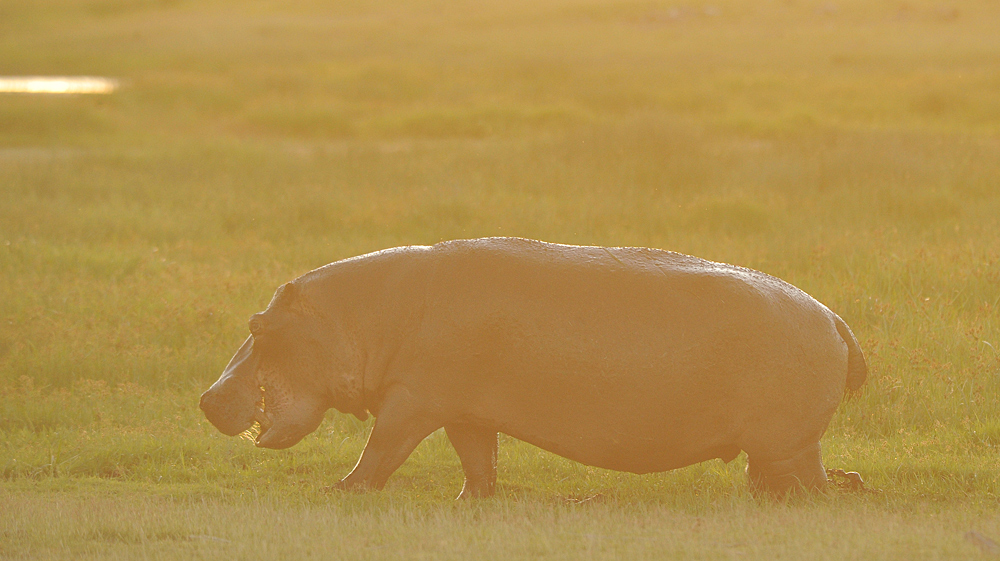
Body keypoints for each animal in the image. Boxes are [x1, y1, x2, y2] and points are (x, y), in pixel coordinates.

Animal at [200, 237, 867, 497]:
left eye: (258, 327)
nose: (206, 399)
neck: (360, 316)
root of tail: (835, 318)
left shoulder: (413, 400)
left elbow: (381, 449)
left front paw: (339, 490)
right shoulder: (463, 409)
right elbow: (478, 458)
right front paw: (472, 502)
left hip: (787, 443)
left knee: (815, 487)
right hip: (777, 447)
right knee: (791, 481)